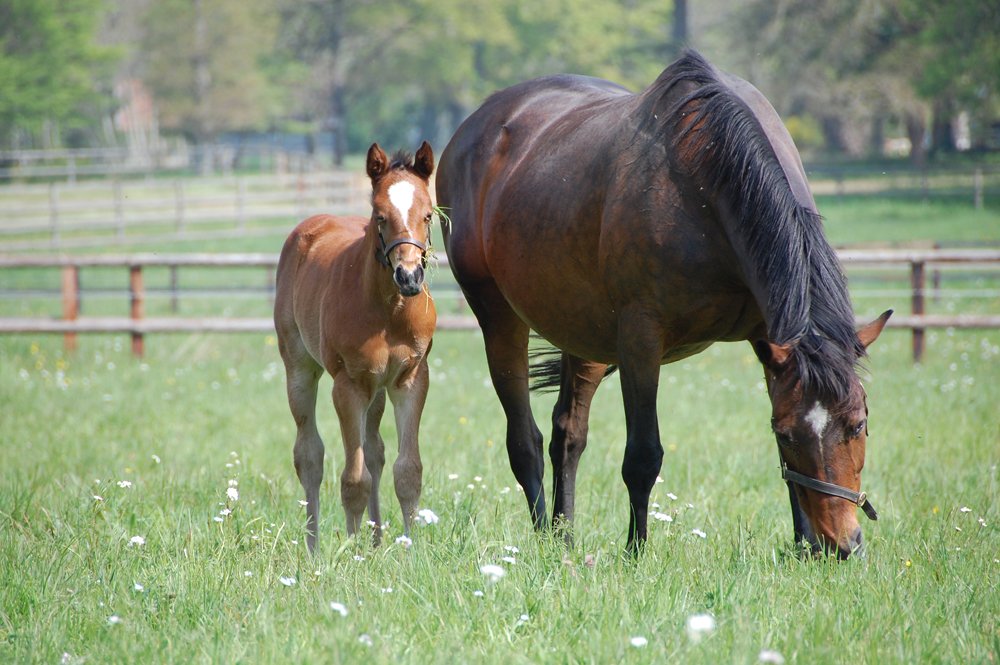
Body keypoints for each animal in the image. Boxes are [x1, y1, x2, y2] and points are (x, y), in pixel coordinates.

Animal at [274, 141, 437, 553]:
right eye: (380, 216)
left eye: (428, 214)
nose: (409, 276)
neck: (388, 311)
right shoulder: (347, 385)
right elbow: (353, 479)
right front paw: (352, 553)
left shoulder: (411, 379)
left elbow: (407, 471)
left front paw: (409, 551)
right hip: (300, 368)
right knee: (309, 455)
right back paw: (314, 548)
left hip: (376, 389)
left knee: (375, 451)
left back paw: (377, 540)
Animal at [436, 50, 891, 559]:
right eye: (789, 432)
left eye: (858, 424)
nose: (842, 544)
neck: (707, 185)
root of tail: (472, 129)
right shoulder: (641, 341)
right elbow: (642, 456)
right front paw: (635, 551)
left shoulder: (767, 337)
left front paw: (802, 544)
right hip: (499, 318)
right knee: (525, 442)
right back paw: (543, 540)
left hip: (583, 332)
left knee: (567, 436)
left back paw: (564, 537)